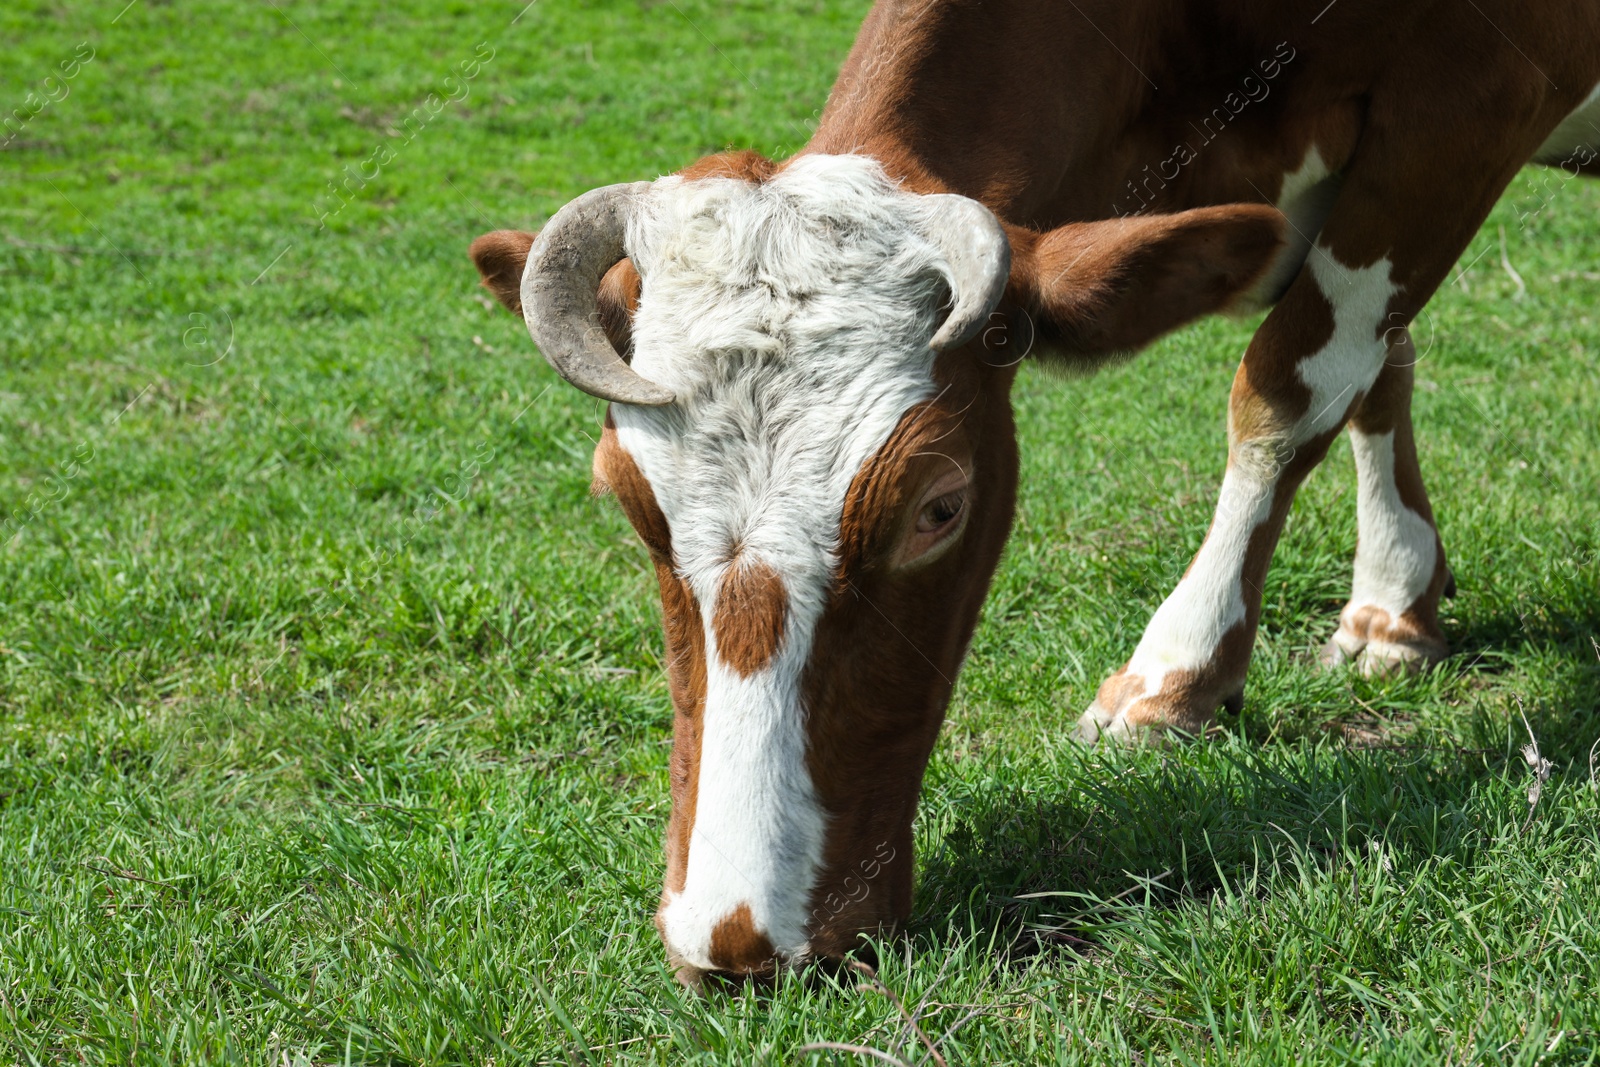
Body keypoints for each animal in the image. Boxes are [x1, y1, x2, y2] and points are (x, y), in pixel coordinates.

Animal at [470, 0, 1600, 985]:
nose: (736, 937)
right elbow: (1376, 368)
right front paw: (1395, 601)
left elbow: (1293, 383)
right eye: (626, 497)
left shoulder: (1470, 106)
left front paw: (1178, 672)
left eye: (938, 508)